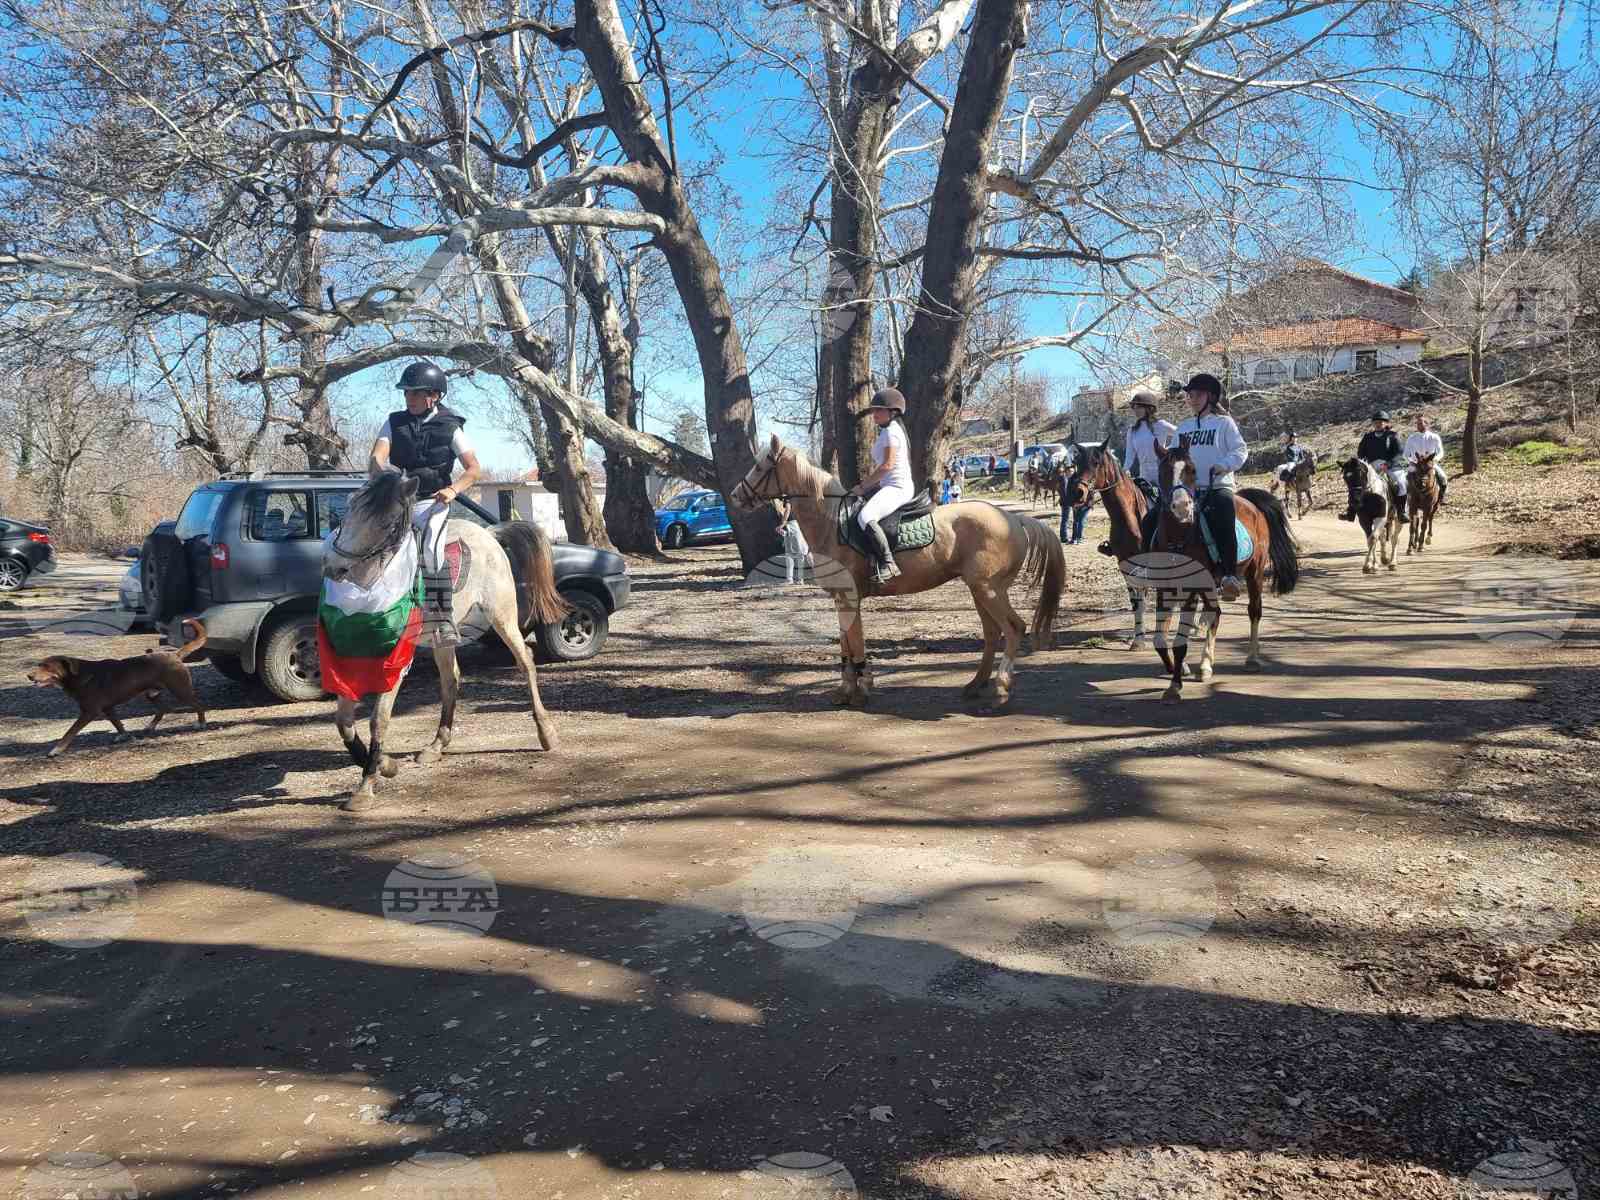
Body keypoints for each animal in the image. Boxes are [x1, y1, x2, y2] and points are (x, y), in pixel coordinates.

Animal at [28, 620, 210, 757]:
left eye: (47, 667)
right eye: (39, 665)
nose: (29, 676)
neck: (79, 675)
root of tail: (174, 654)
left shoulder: (90, 712)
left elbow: (70, 731)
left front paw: (56, 750)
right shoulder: (108, 708)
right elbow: (117, 723)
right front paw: (123, 735)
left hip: (180, 690)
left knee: (198, 704)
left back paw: (201, 724)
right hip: (152, 693)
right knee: (163, 708)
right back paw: (150, 727)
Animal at [319, 470, 567, 811]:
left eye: (387, 525)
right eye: (350, 506)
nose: (334, 566)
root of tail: (488, 532)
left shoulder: (395, 660)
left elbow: (378, 719)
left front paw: (367, 785)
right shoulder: (352, 656)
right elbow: (343, 721)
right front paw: (384, 764)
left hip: (501, 615)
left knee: (525, 662)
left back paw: (547, 733)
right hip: (442, 636)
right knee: (451, 678)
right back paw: (437, 744)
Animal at [732, 435, 1064, 707]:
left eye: (760, 467)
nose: (735, 496)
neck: (830, 522)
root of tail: (1013, 519)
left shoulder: (849, 597)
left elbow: (855, 641)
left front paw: (861, 690)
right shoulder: (841, 598)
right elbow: (845, 643)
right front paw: (845, 690)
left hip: (989, 589)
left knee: (1014, 629)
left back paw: (1001, 689)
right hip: (980, 590)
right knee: (993, 633)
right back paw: (975, 685)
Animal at [1063, 443, 1156, 648]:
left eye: (1096, 463)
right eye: (1077, 463)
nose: (1078, 492)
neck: (1130, 517)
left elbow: (1142, 596)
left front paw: (1140, 639)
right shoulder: (1124, 563)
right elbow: (1135, 601)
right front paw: (1137, 638)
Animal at [1149, 441, 1300, 702]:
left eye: (1191, 469)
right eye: (1163, 471)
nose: (1182, 507)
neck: (1179, 538)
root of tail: (1249, 503)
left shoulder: (1191, 590)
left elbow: (1180, 642)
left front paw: (1174, 686)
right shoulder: (1164, 589)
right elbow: (1159, 639)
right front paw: (1176, 674)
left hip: (1254, 572)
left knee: (1254, 611)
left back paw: (1251, 658)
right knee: (1215, 614)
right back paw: (1205, 665)